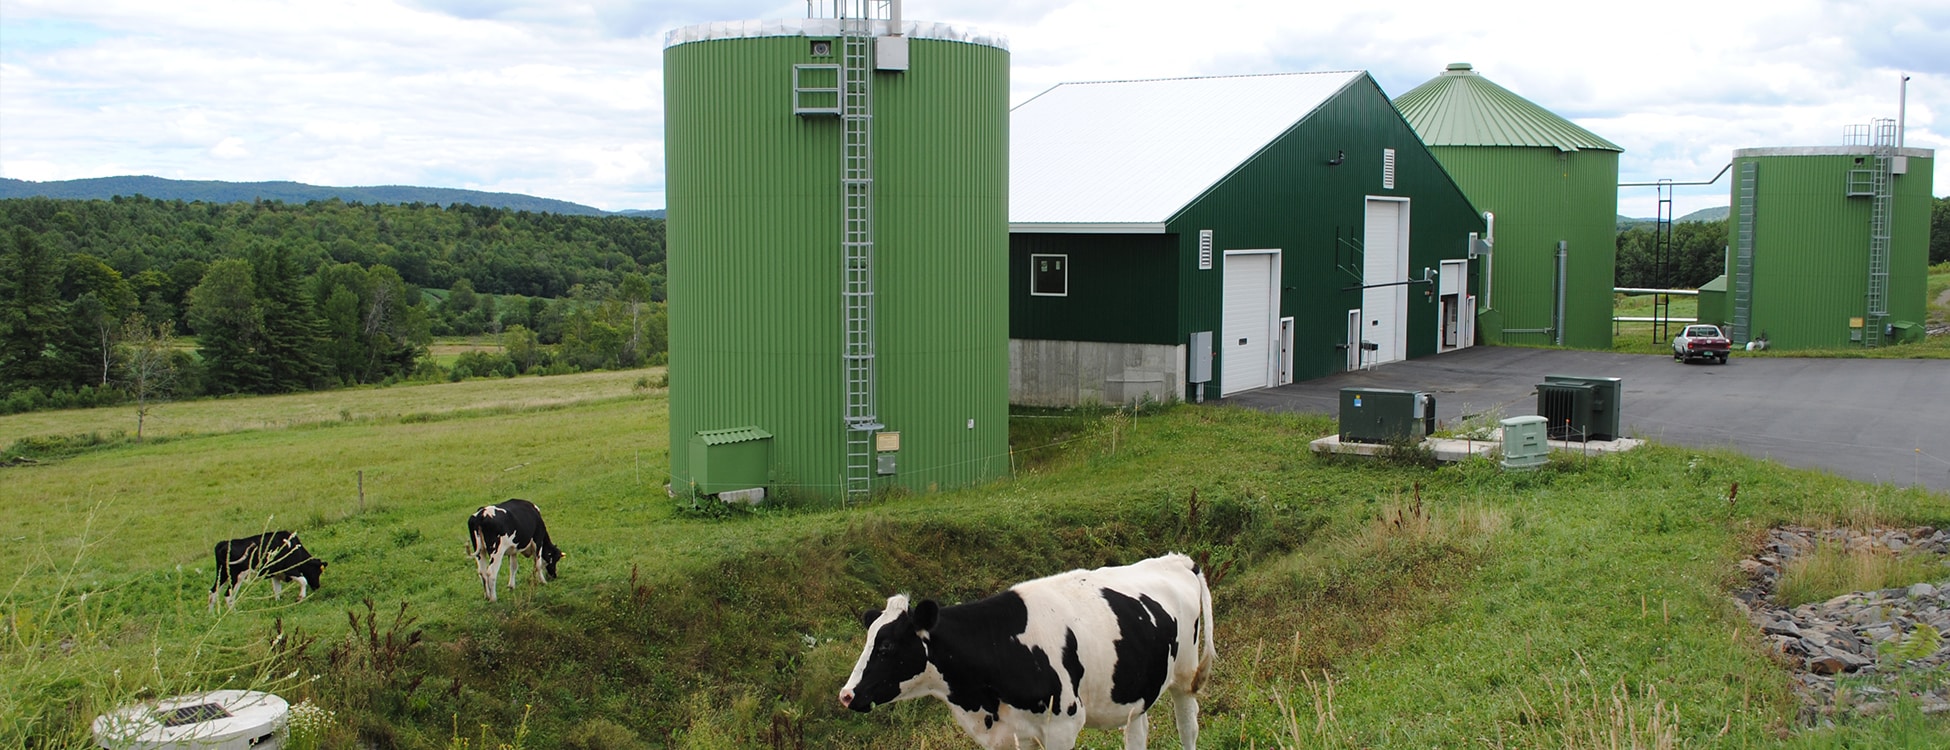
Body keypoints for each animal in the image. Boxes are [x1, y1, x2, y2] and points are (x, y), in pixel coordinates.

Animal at [842, 549, 1216, 748]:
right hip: (1137, 690)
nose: (846, 695)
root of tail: (1175, 560)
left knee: (1188, 727)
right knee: (1137, 731)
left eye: (886, 646)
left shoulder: (1063, 725)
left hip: (1184, 677)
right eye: (869, 640)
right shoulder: (1010, 734)